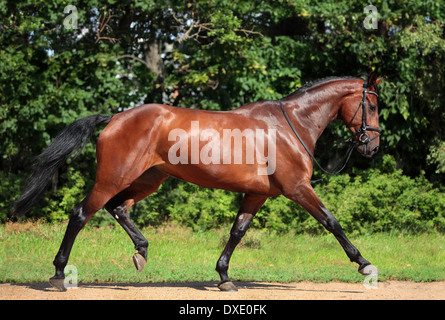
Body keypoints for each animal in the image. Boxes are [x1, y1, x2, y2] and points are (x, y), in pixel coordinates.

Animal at [14, 71, 382, 292]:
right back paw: (59, 273)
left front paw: (224, 276)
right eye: (373, 104)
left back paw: (141, 252)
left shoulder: (256, 195)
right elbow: (331, 221)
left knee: (118, 208)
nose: (372, 146)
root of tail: (116, 117)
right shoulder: (298, 188)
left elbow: (237, 232)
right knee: (82, 214)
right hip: (112, 178)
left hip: (148, 179)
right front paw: (364, 265)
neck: (289, 126)